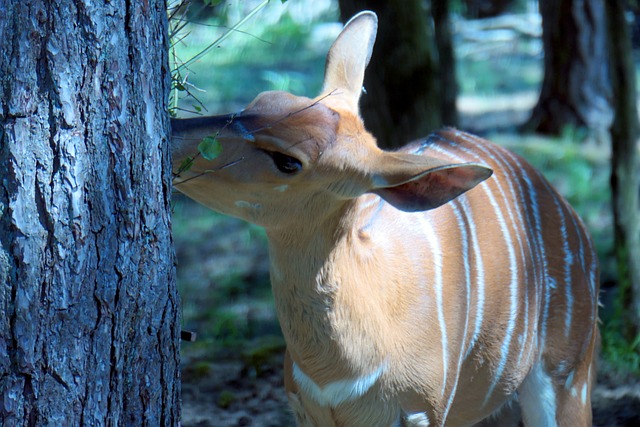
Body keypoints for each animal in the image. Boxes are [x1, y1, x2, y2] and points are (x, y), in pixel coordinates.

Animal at [171, 10, 600, 427]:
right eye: (260, 100)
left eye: (287, 160)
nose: (174, 128)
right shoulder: (307, 412)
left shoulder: (423, 409)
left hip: (569, 374)